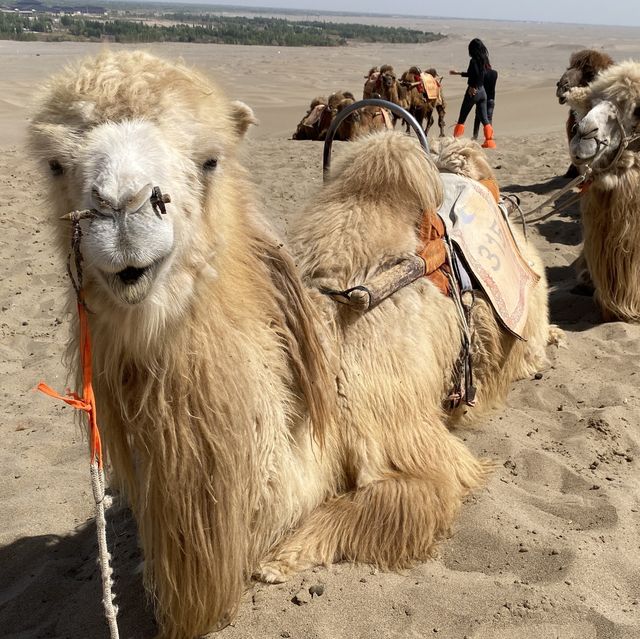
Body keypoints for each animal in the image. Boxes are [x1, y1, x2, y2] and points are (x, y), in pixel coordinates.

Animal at [30, 50, 552, 639]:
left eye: (210, 160)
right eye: (55, 165)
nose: (123, 211)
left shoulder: (414, 445)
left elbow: (378, 505)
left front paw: (279, 561)